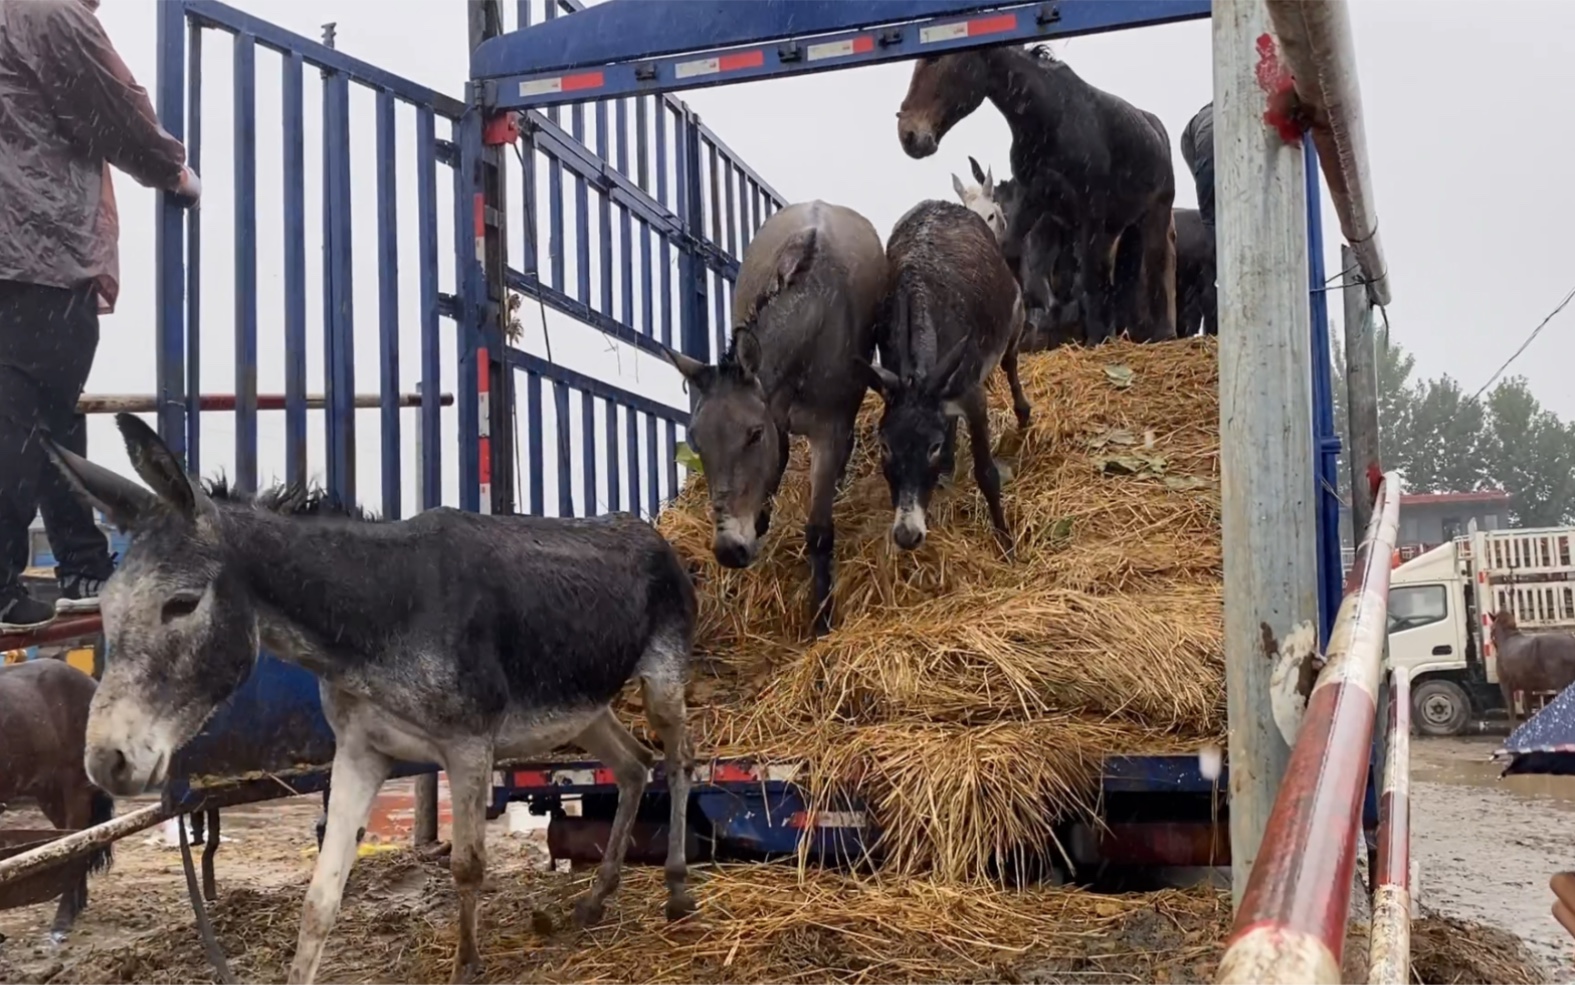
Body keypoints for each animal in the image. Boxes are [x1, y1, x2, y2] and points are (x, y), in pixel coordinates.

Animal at [894, 45, 1178, 345]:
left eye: (934, 58)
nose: (908, 135)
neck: (1050, 117)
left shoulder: (1091, 208)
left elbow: (1089, 277)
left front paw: (1095, 341)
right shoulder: (1033, 199)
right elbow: (1011, 251)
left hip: (1154, 214)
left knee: (1156, 262)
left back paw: (1161, 333)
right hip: (1118, 227)